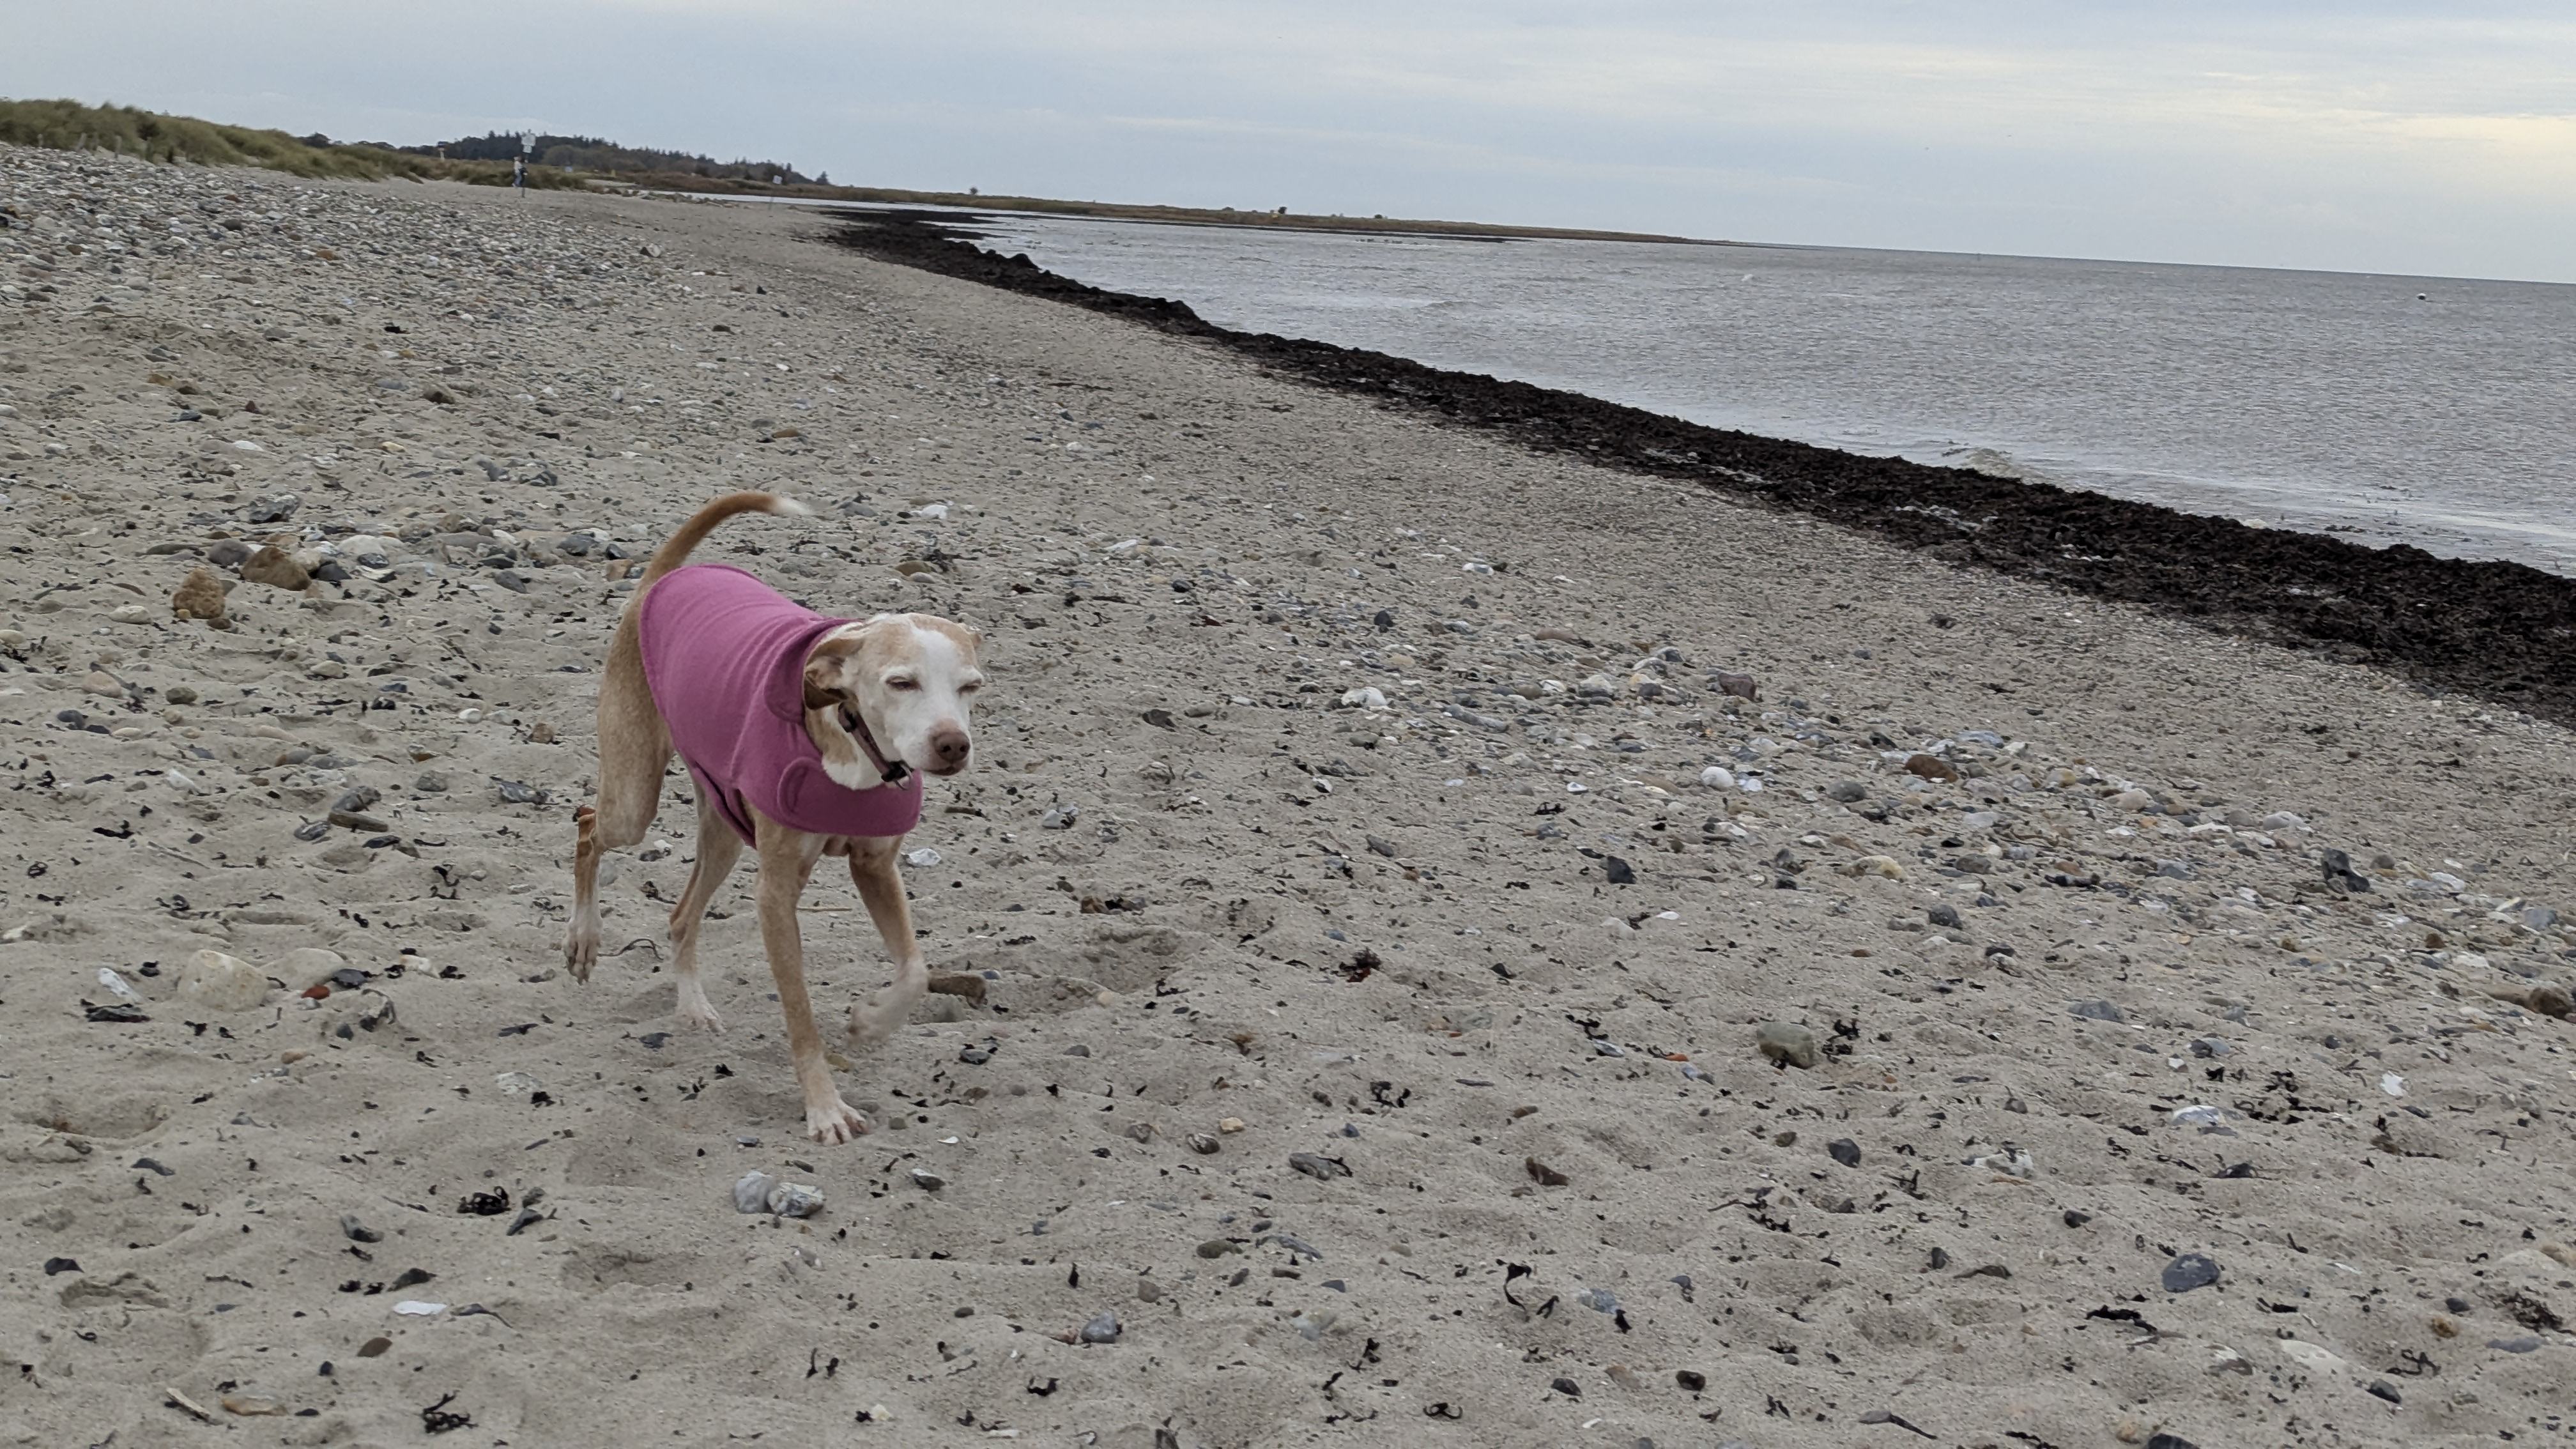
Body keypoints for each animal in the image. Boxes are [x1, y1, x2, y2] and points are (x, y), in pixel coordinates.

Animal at [563, 491, 985, 1143]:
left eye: (971, 687)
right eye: (901, 683)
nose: (952, 746)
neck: (850, 739)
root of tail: (660, 580)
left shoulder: (876, 868)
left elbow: (915, 969)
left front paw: (870, 1022)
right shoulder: (776, 893)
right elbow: (800, 1013)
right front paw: (826, 1108)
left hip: (724, 830)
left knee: (682, 917)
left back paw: (693, 1007)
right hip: (633, 799)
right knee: (587, 824)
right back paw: (584, 938)